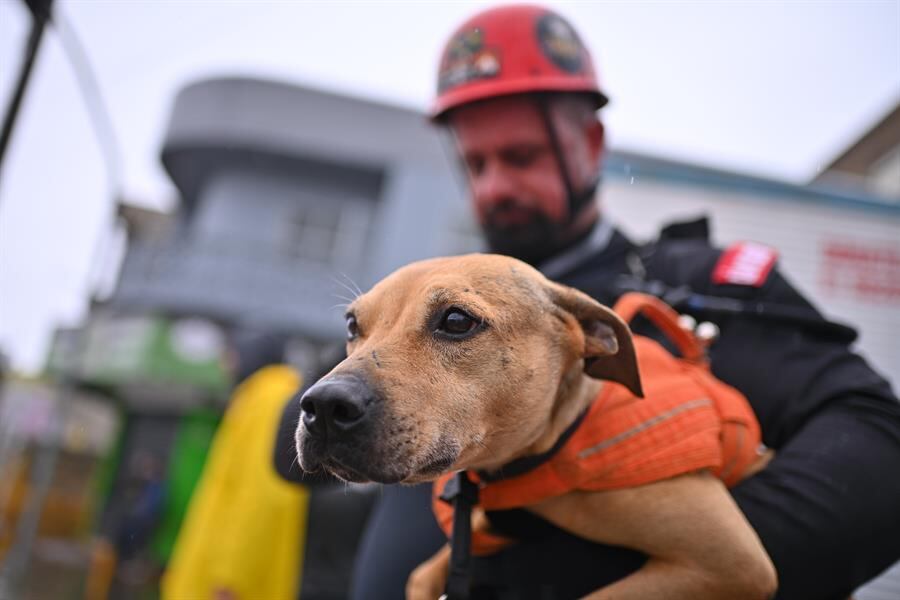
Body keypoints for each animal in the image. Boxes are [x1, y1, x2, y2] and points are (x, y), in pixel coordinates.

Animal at [298, 253, 776, 600]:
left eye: (456, 321)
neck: (555, 441)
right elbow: (421, 575)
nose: (323, 406)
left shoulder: (732, 561)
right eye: (352, 325)